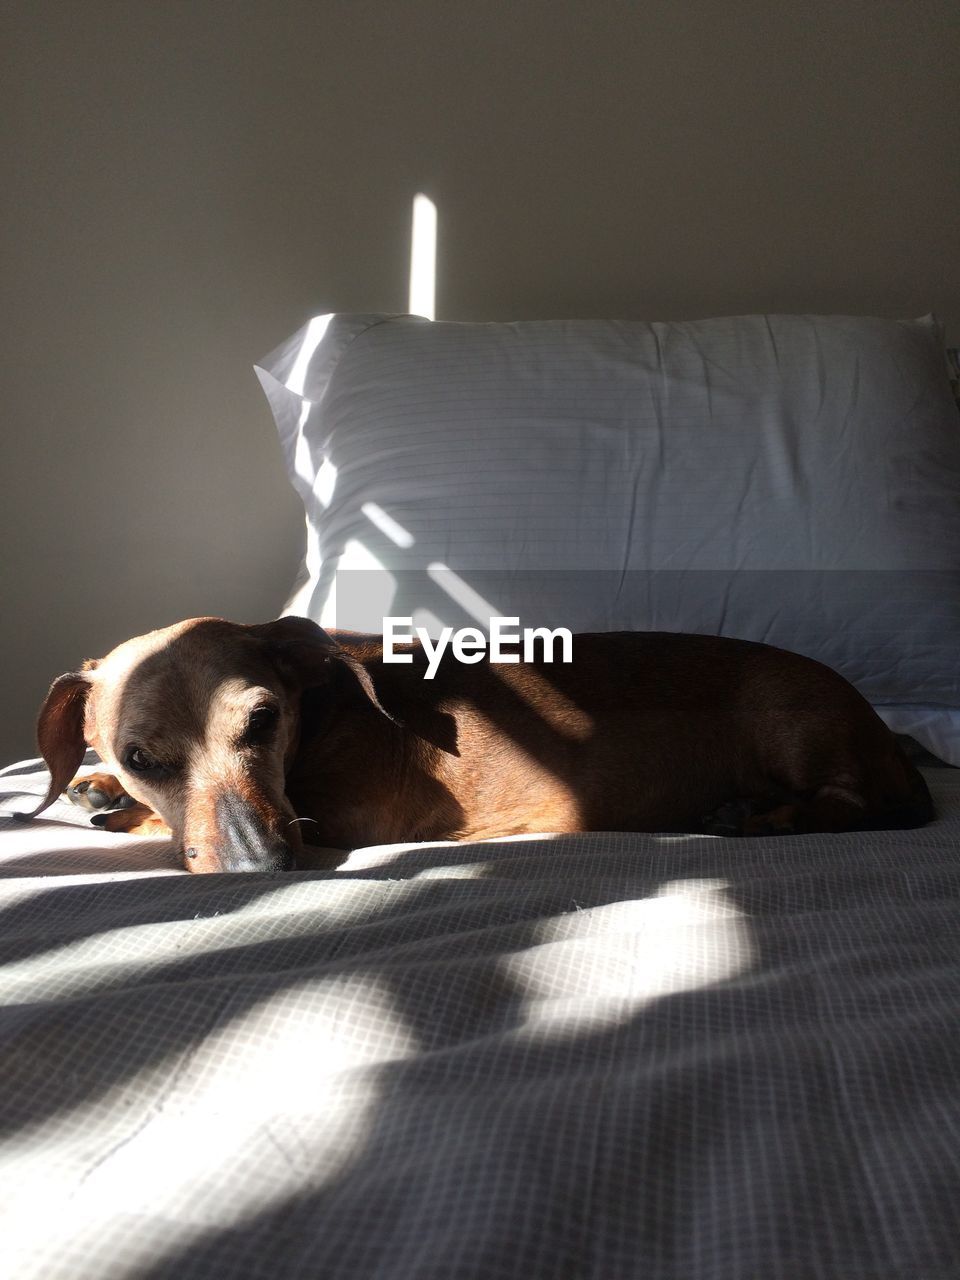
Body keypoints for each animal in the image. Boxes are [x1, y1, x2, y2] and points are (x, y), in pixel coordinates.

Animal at [18, 614, 936, 875]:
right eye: (142, 758)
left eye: (264, 720)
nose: (258, 866)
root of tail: (886, 738)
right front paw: (101, 790)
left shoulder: (338, 816)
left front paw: (118, 812)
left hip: (794, 718)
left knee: (856, 804)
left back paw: (759, 815)